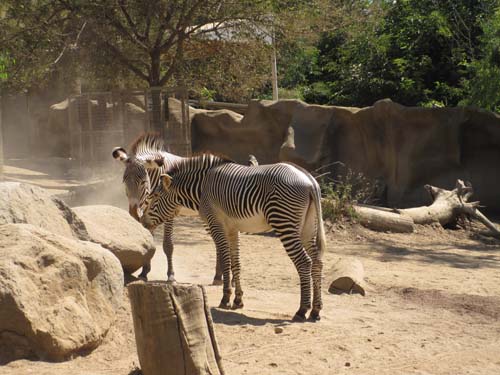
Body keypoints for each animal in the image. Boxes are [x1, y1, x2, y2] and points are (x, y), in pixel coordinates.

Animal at [142, 153, 328, 324]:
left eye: (155, 198)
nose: (143, 222)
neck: (202, 189)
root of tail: (309, 180)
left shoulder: (216, 224)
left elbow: (225, 262)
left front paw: (225, 299)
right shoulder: (233, 228)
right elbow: (235, 263)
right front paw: (238, 300)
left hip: (284, 222)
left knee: (304, 262)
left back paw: (302, 310)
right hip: (307, 228)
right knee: (317, 262)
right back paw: (316, 310)